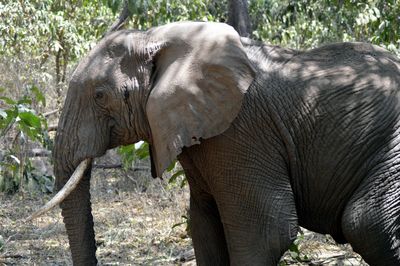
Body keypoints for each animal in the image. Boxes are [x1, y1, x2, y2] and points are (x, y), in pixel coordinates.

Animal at [45, 21, 400, 264]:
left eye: (99, 96)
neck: (156, 38)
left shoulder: (242, 129)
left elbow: (268, 230)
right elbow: (202, 222)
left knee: (366, 223)